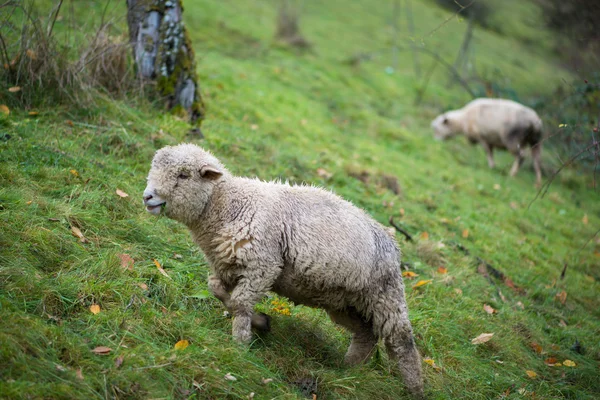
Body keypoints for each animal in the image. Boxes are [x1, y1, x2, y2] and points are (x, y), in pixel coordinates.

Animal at [144, 143, 426, 396]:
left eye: (184, 175)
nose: (147, 196)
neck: (229, 204)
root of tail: (391, 239)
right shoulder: (227, 266)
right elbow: (218, 292)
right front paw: (260, 322)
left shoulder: (263, 265)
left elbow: (239, 303)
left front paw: (240, 344)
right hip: (345, 299)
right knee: (366, 333)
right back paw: (347, 370)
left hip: (386, 293)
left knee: (402, 340)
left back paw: (414, 388)